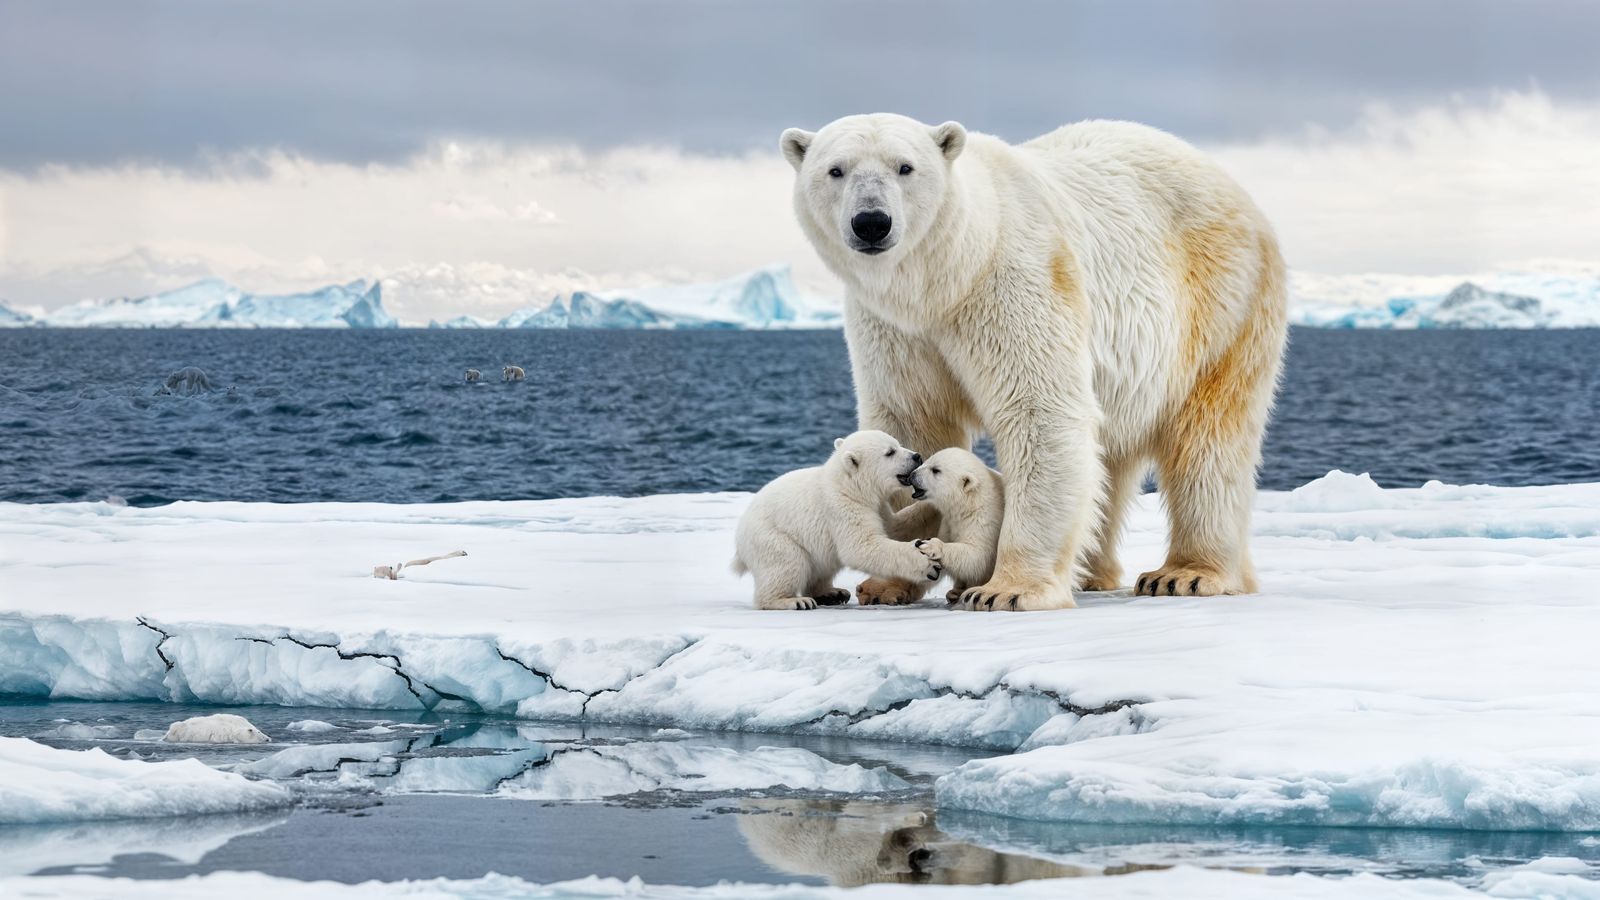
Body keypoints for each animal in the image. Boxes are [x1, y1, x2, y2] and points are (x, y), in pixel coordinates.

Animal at [732, 430, 943, 610]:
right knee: (788, 563)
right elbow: (861, 546)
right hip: (771, 538)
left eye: (898, 443)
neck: (848, 484)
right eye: (890, 452)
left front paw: (931, 505)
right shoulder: (842, 508)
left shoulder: (876, 506)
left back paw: (832, 593)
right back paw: (793, 601)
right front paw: (928, 564)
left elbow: (894, 526)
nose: (916, 456)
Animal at [898, 448, 1004, 606]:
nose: (912, 475)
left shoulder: (985, 521)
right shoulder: (949, 522)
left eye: (936, 470)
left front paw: (930, 545)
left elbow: (978, 556)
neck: (969, 504)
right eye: (928, 460)